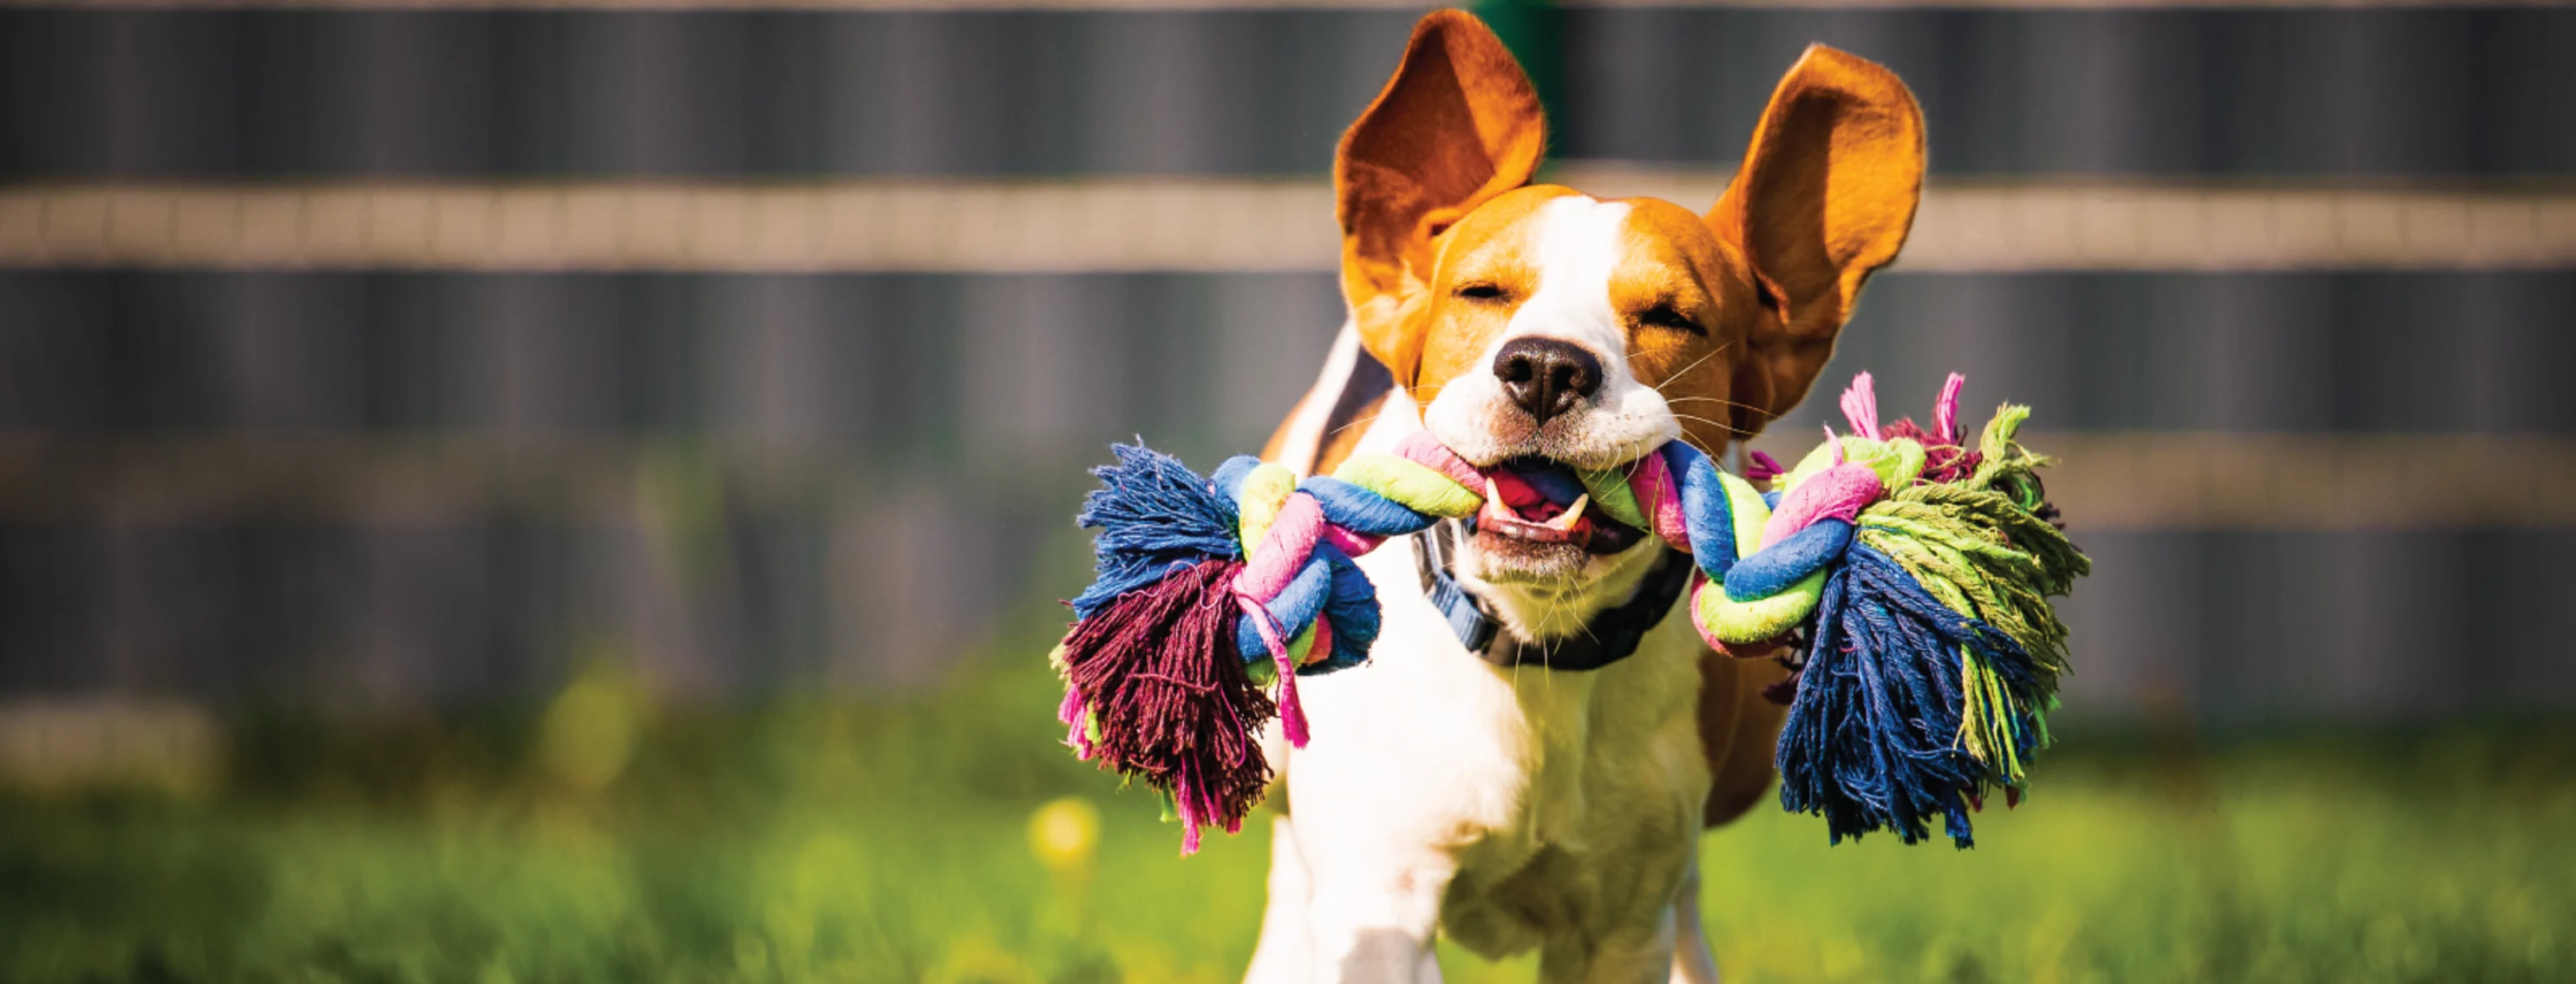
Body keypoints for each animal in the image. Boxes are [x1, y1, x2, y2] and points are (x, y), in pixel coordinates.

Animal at [1236, 10, 1926, 984]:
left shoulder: (1619, 927)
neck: (1537, 647)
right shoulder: (1383, 896)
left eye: (1672, 317)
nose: (1546, 367)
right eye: (1482, 291)